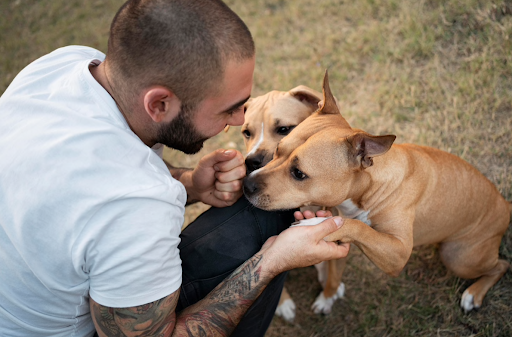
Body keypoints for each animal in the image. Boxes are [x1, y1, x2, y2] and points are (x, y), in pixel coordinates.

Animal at [245, 71, 512, 312]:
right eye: (278, 150)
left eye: (299, 173)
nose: (246, 185)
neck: (367, 190)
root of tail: (504, 204)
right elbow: (334, 272)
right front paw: (328, 298)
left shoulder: (398, 251)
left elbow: (356, 226)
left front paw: (313, 226)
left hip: (458, 257)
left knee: (501, 264)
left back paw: (474, 293)